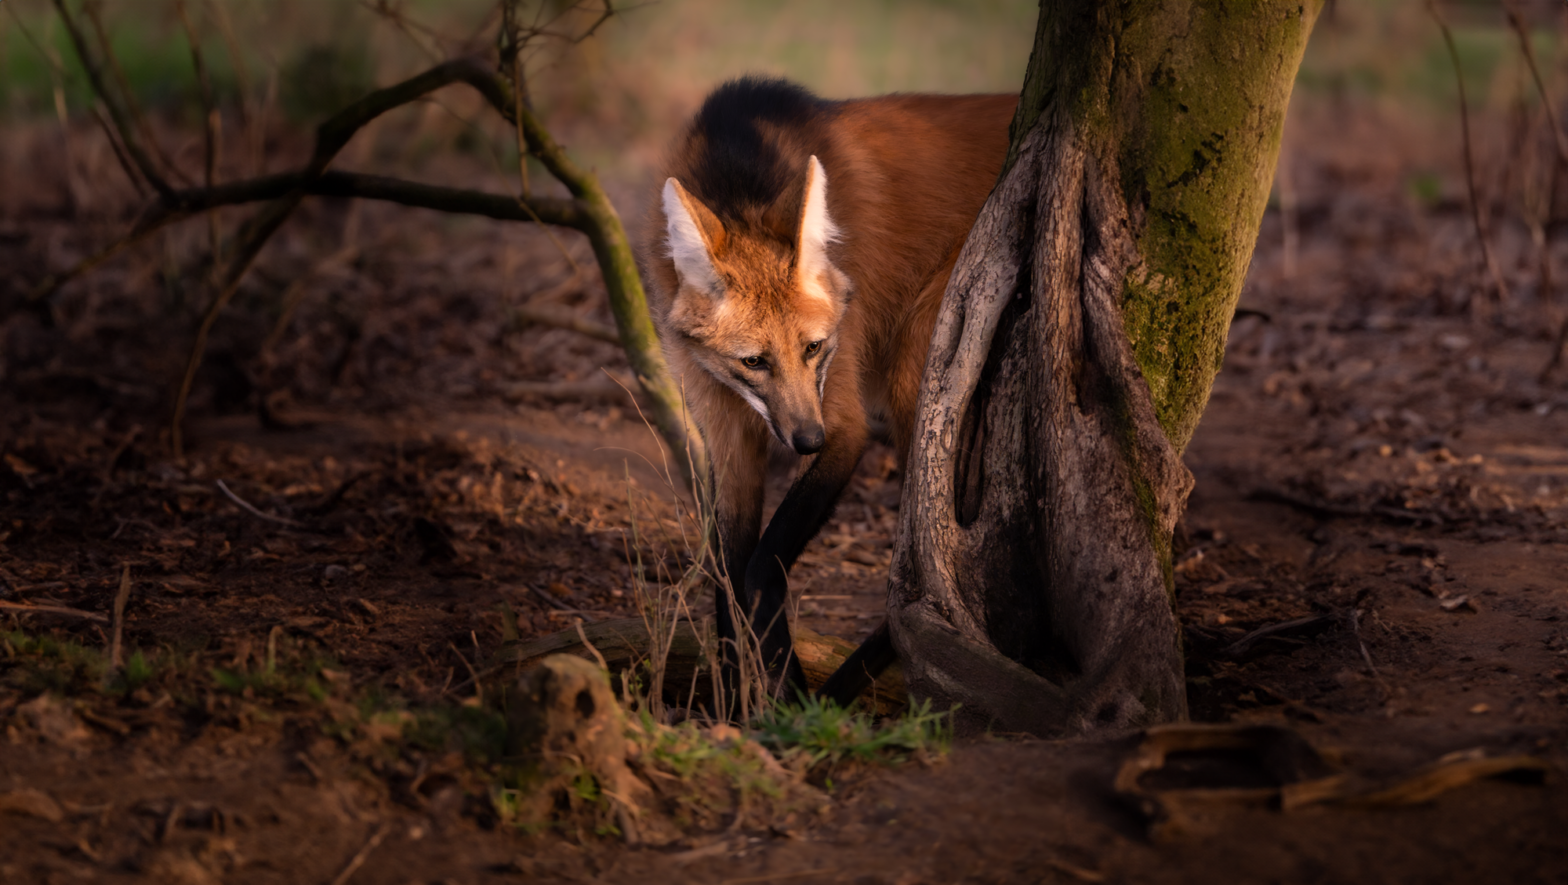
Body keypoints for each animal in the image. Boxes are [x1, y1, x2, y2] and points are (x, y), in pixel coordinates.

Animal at [642, 77, 1009, 712]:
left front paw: (791, 701)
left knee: (935, 566)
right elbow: (728, 572)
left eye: (813, 348)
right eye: (754, 362)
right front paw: (737, 704)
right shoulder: (728, 430)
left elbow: (760, 569)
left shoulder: (844, 421)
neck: (741, 168)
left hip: (922, 364)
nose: (807, 441)